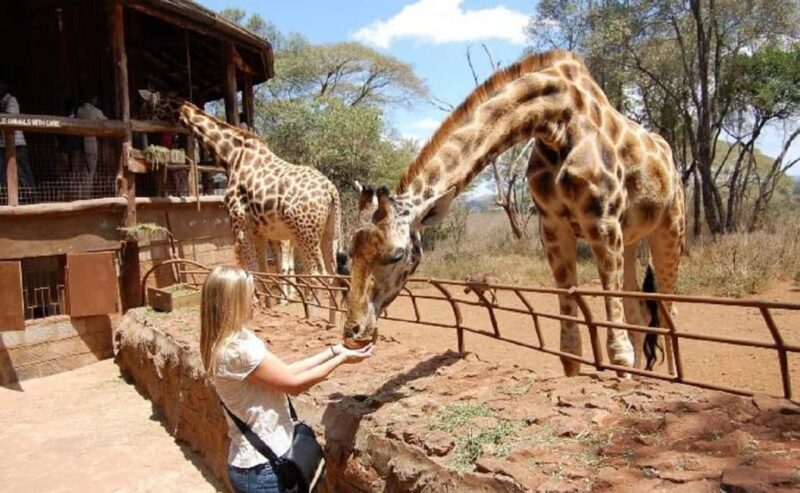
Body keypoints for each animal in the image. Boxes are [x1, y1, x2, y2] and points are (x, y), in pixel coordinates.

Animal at [138, 90, 347, 325]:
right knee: (334, 273)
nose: (142, 130)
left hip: (305, 234)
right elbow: (264, 270)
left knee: (318, 274)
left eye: (147, 106)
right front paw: (267, 305)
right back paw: (333, 320)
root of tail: (331, 191)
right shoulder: (260, 231)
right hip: (329, 232)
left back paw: (313, 317)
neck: (231, 155)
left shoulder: (239, 223)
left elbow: (251, 269)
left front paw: (254, 306)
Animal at [341, 51, 685, 377]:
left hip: (669, 229)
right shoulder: (552, 226)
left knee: (670, 312)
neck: (556, 121)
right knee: (638, 310)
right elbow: (570, 349)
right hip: (630, 238)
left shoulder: (602, 221)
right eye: (348, 253)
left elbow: (618, 349)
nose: (353, 332)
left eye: (396, 255)